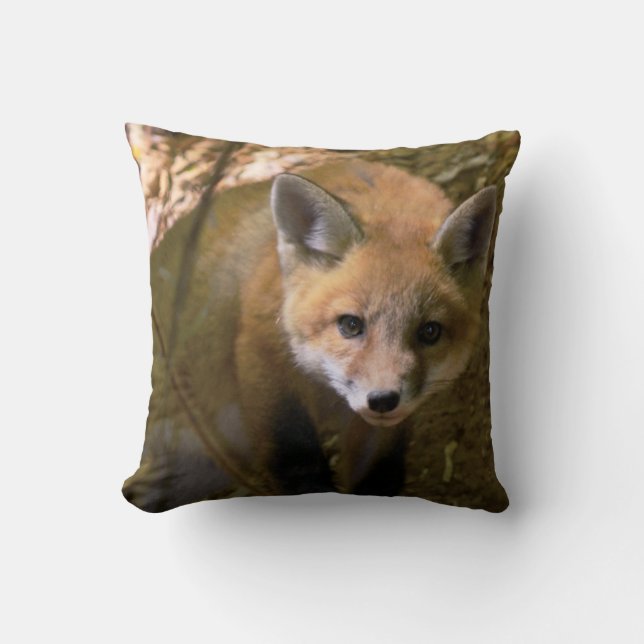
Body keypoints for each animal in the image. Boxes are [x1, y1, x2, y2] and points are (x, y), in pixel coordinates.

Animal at [224, 158, 498, 498]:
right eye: (351, 325)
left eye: (430, 331)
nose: (382, 400)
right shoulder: (262, 357)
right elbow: (294, 458)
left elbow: (376, 472)